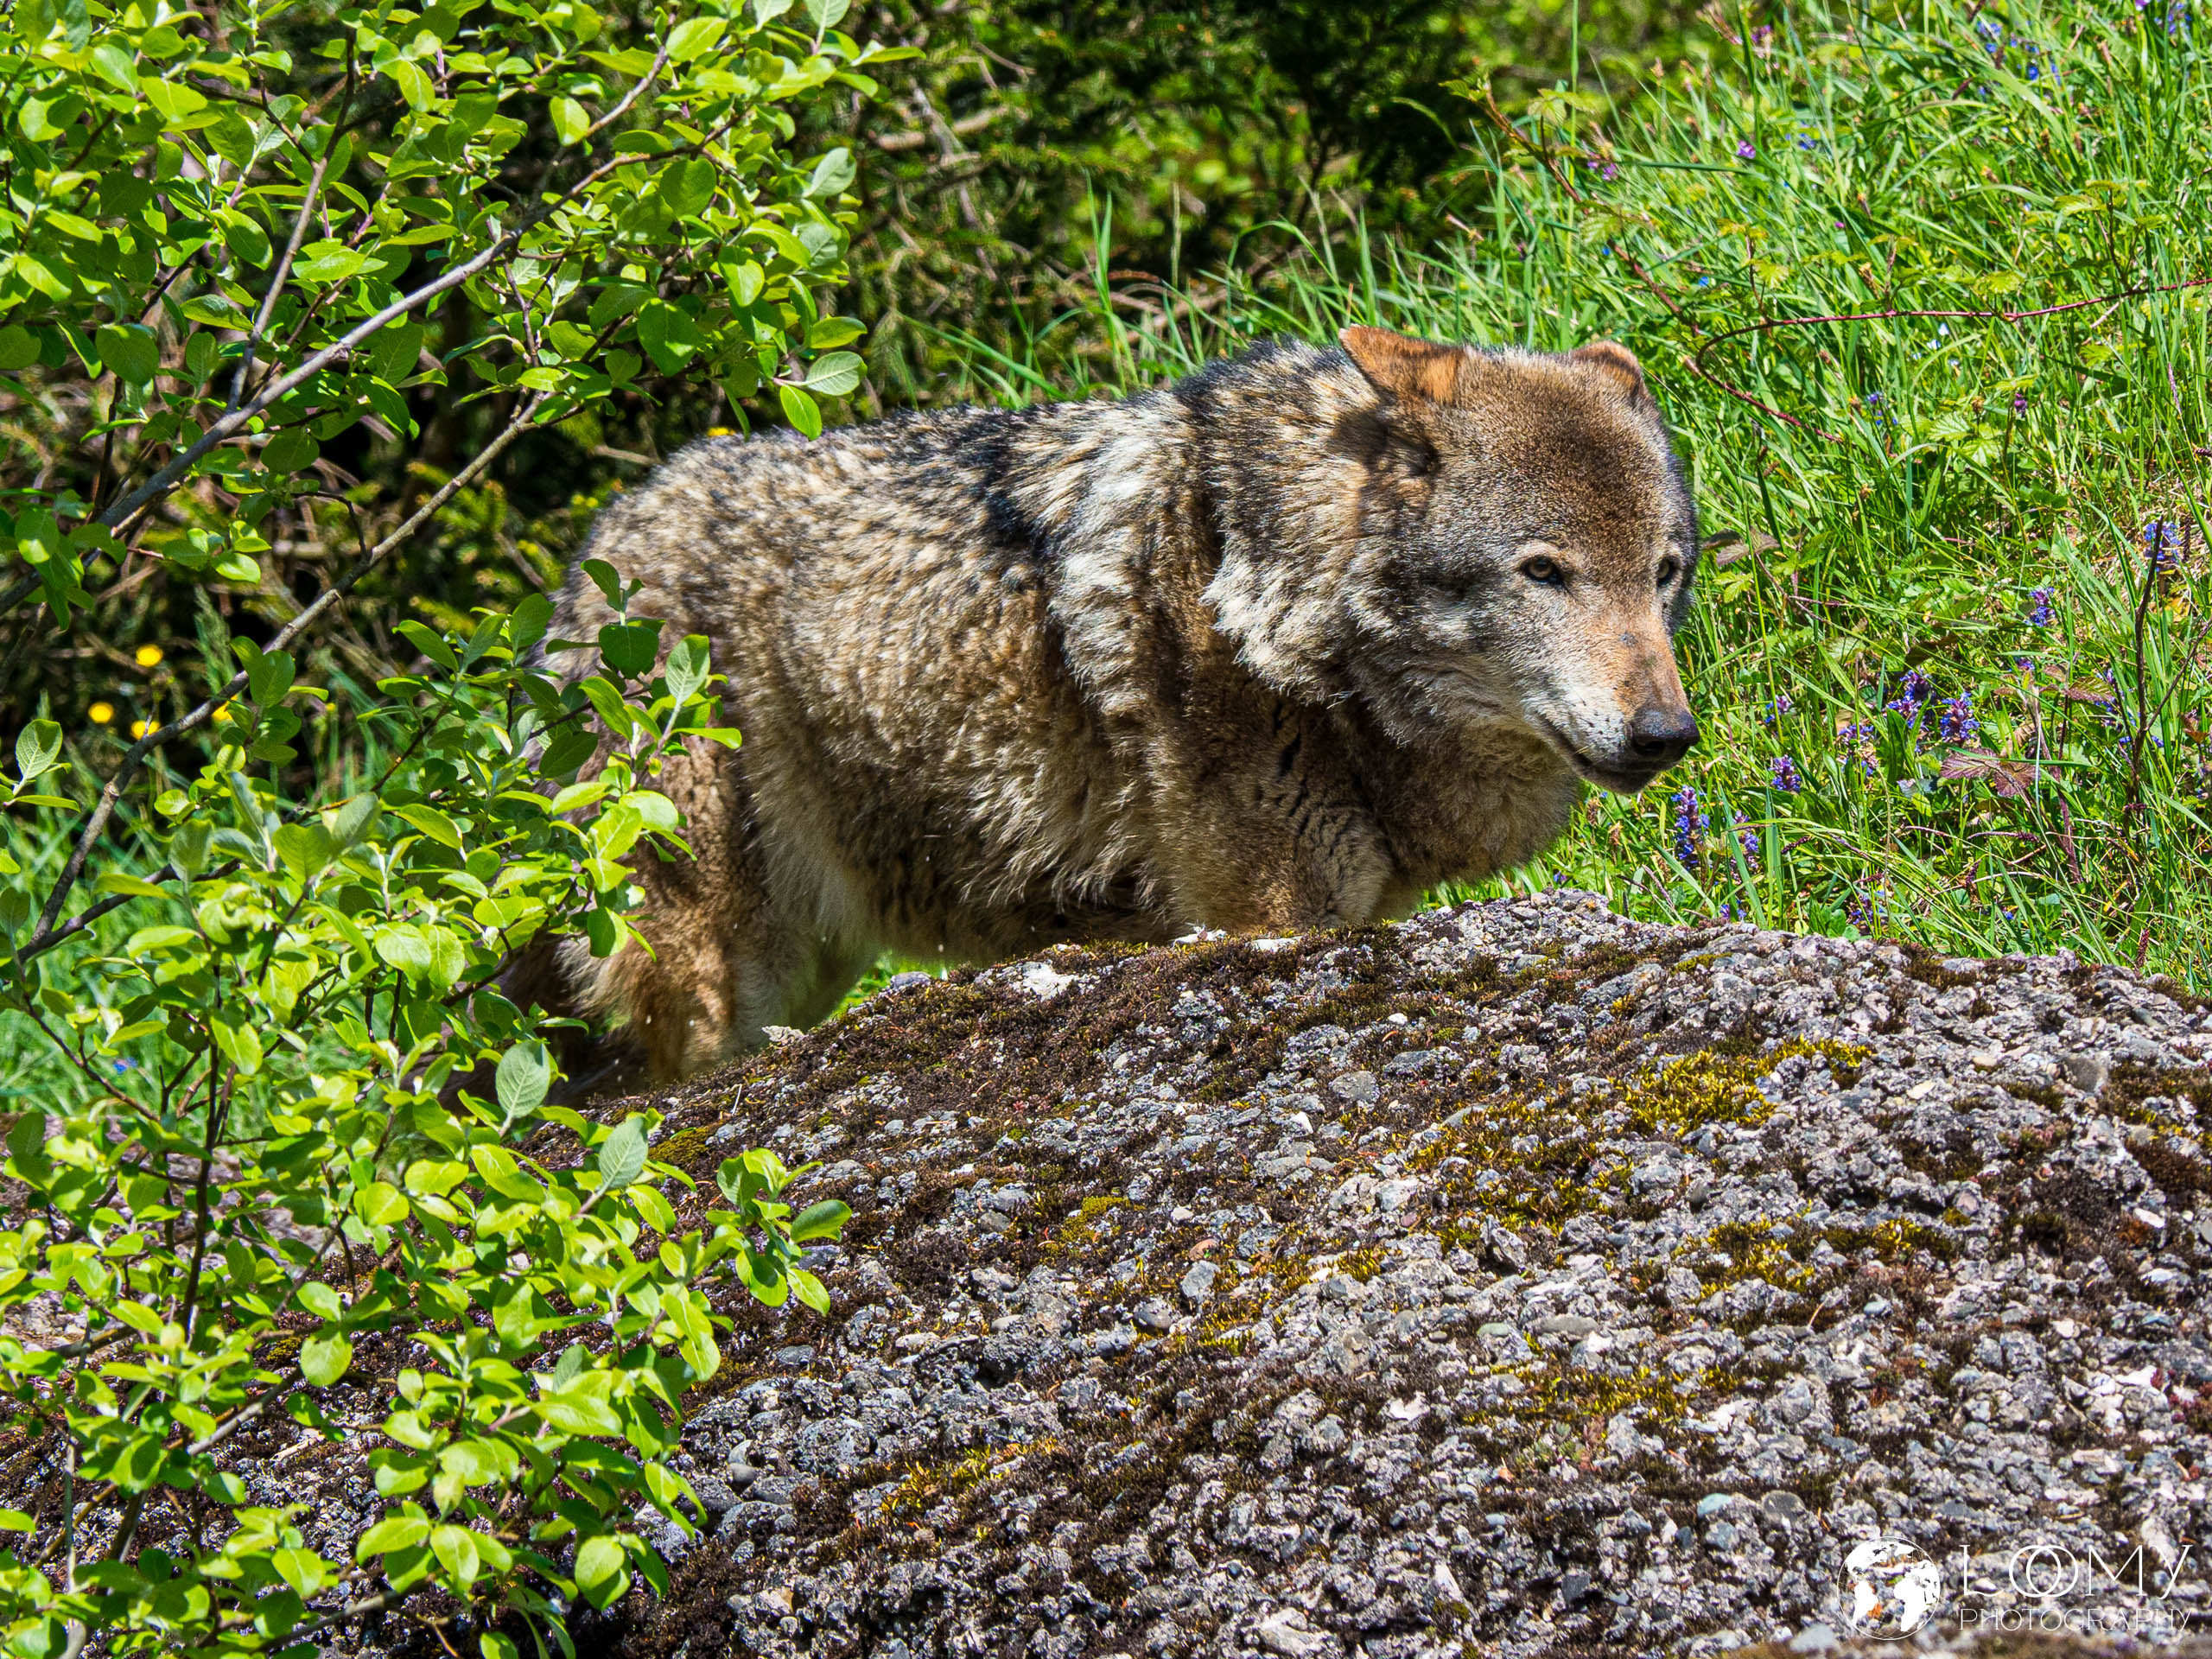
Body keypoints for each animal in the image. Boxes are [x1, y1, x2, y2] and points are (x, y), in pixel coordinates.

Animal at [538, 325, 1700, 1080]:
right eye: (1543, 573)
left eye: (1663, 573)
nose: (1667, 736)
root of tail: (601, 542)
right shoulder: (1264, 918)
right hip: (716, 975)